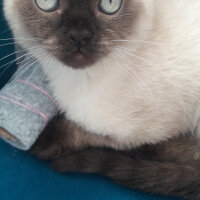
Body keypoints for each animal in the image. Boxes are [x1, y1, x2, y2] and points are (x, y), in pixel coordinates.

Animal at [2, 0, 200, 198]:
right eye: (47, 4)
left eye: (110, 5)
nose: (79, 36)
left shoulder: (151, 130)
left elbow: (94, 134)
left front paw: (44, 143)